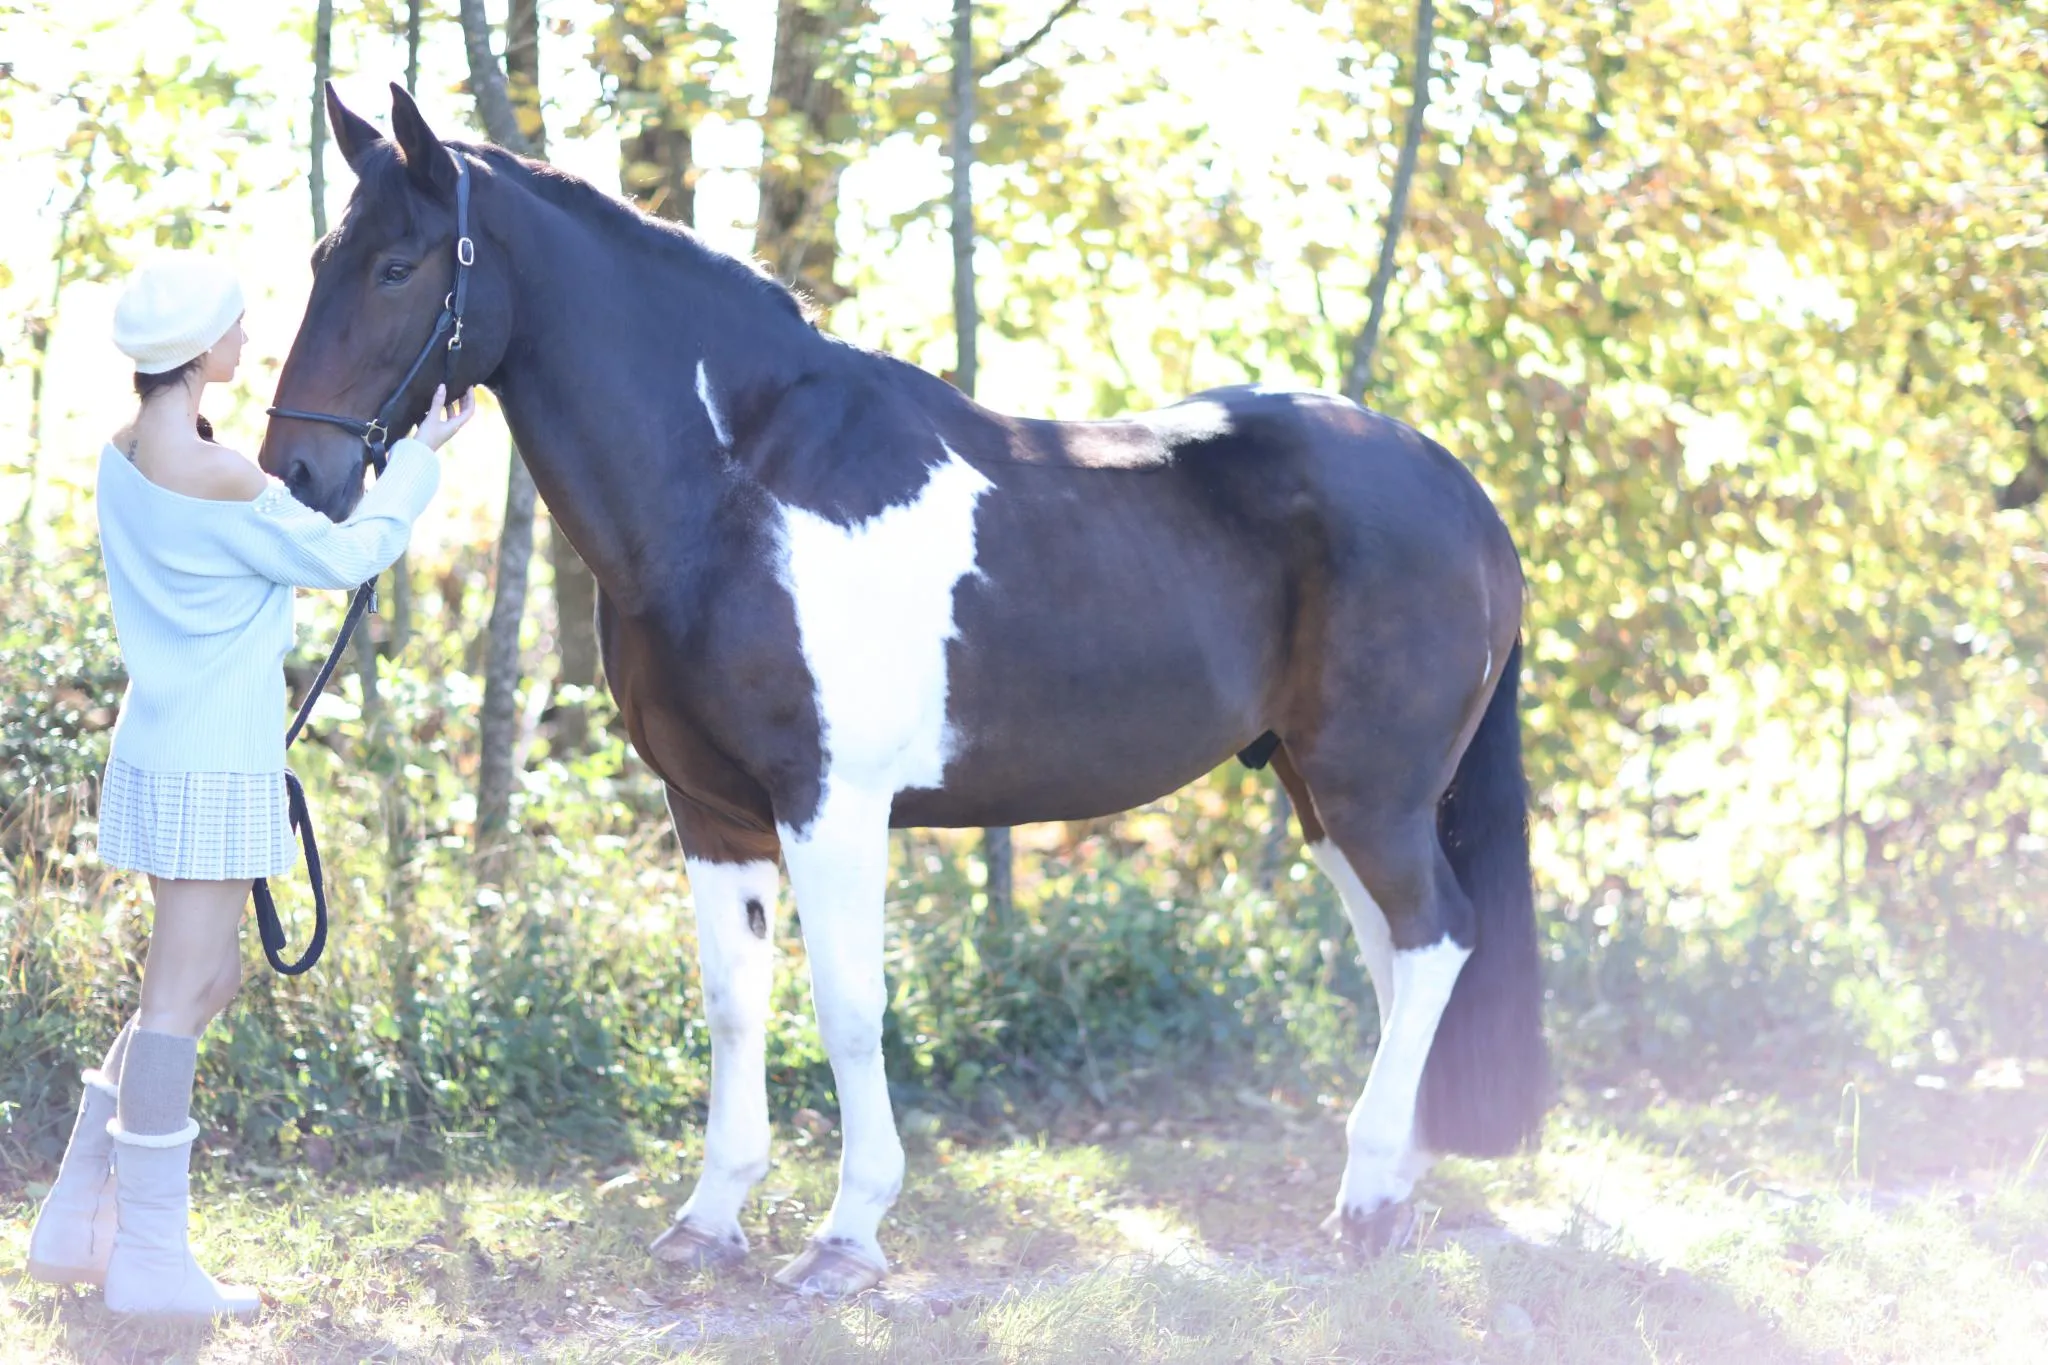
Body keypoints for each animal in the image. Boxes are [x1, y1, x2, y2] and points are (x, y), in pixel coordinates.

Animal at [268, 85, 1548, 1301]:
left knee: (1434, 939)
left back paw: (1365, 1202)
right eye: (321, 258)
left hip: (1370, 788)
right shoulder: (711, 810)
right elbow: (733, 1004)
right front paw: (709, 1221)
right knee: (1398, 952)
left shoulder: (826, 805)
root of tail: (1460, 493)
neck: (735, 487)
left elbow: (847, 1009)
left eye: (396, 267)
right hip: (1322, 792)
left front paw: (845, 1236)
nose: (297, 472)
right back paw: (1392, 1190)